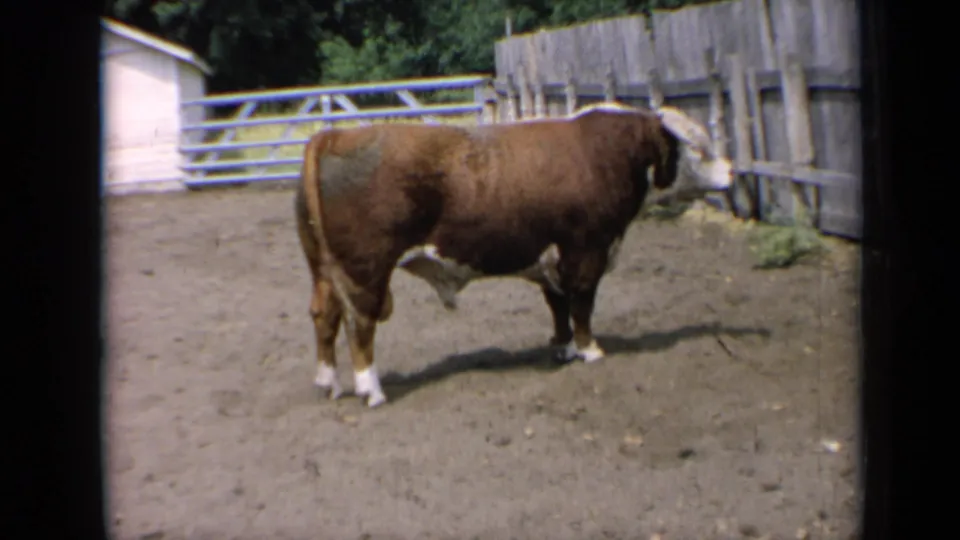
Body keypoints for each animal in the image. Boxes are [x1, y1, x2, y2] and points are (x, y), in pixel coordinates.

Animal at [294, 100, 734, 408]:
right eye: (698, 147)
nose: (733, 171)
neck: (606, 155)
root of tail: (331, 137)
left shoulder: (552, 259)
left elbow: (559, 307)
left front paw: (563, 348)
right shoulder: (586, 252)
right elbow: (582, 306)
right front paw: (590, 351)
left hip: (322, 271)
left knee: (325, 316)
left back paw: (327, 382)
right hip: (365, 270)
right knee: (360, 324)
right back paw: (371, 389)